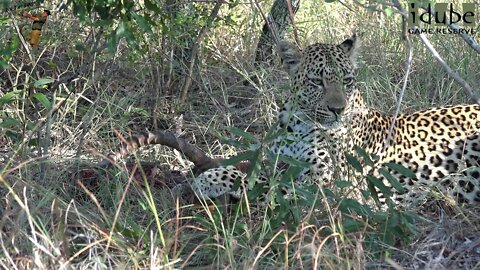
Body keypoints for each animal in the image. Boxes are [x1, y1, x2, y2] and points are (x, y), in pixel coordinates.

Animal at [101, 33, 480, 205]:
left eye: (347, 81)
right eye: (317, 81)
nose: (337, 110)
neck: (297, 123)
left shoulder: (328, 185)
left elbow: (261, 184)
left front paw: (209, 180)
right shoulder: (275, 157)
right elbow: (249, 167)